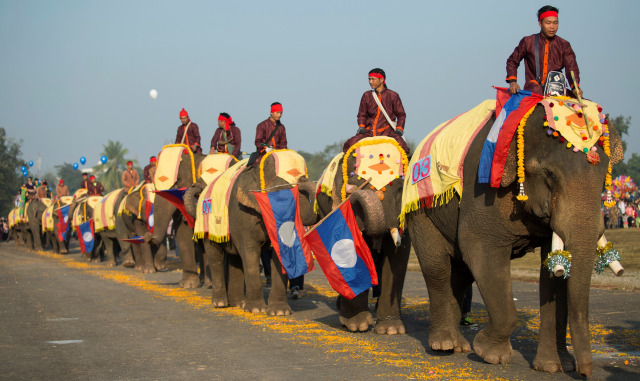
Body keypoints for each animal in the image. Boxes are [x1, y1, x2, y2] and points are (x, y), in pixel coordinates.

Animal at [314, 136, 410, 332]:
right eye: (351, 188)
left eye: (399, 189)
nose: (353, 192)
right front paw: (356, 326)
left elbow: (398, 254)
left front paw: (391, 330)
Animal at [404, 96, 620, 376]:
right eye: (550, 175)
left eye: (605, 178)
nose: (584, 373)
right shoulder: (482, 190)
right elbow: (481, 251)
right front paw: (490, 355)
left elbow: (552, 272)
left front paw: (554, 367)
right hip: (420, 210)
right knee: (437, 267)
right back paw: (445, 346)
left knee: (460, 275)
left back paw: (459, 346)